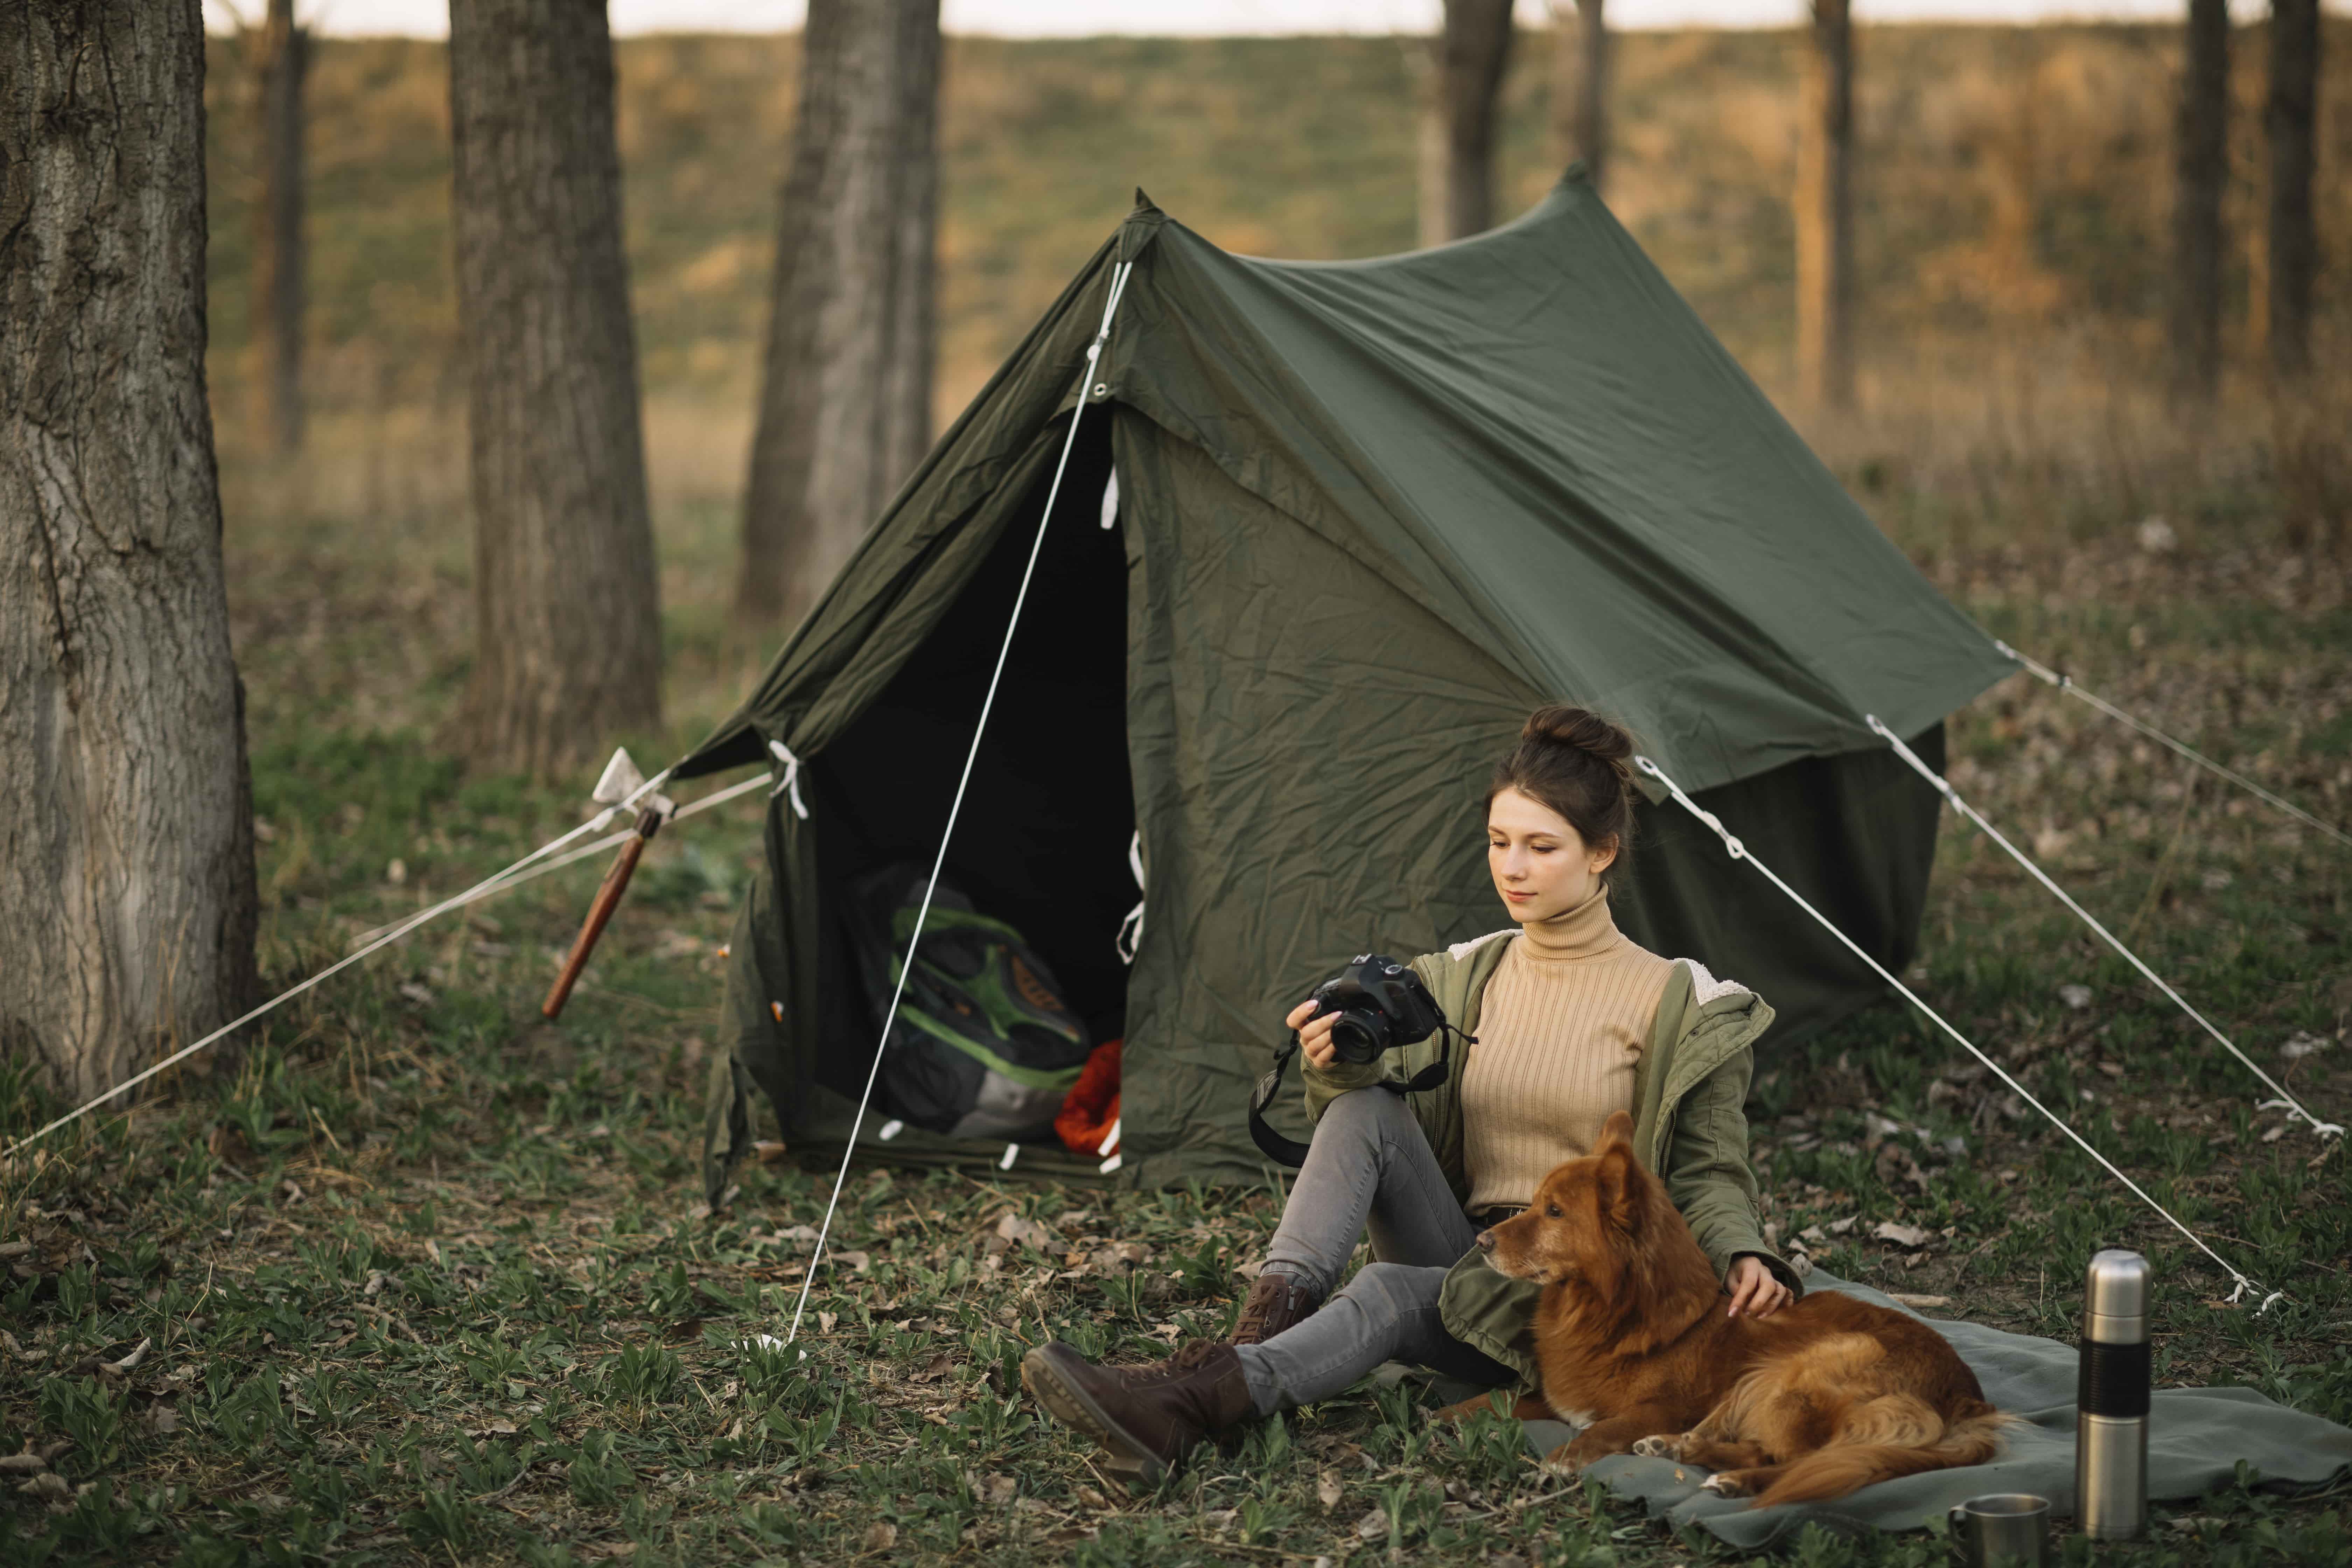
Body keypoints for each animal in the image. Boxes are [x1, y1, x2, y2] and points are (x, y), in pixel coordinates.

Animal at [1468, 1105, 2004, 1504]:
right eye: (1538, 1203)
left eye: (1555, 1211)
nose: (1481, 1241)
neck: (1616, 1315)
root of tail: (1968, 1396)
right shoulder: (1550, 1398)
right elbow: (1485, 1402)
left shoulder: (1668, 1406)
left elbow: (1609, 1427)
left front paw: (1564, 1458)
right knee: (1760, 1450)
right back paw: (1677, 1451)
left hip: (1793, 1371)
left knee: (1797, 1460)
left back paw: (1730, 1478)